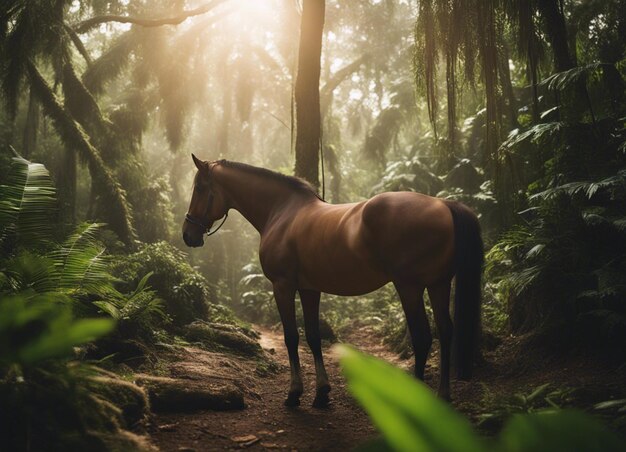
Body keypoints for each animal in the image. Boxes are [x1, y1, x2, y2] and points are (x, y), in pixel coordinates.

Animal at [182, 155, 482, 406]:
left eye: (199, 188)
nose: (187, 234)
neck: (281, 212)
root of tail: (444, 204)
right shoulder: (309, 289)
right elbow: (314, 337)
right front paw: (322, 393)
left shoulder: (282, 286)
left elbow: (292, 337)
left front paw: (294, 394)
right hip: (438, 284)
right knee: (446, 331)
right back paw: (443, 397)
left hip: (409, 287)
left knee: (421, 337)